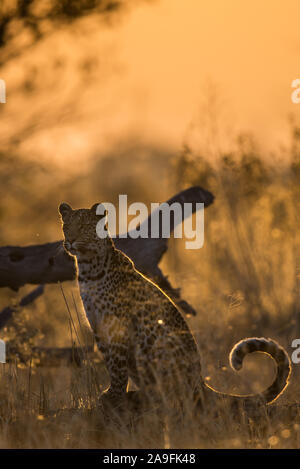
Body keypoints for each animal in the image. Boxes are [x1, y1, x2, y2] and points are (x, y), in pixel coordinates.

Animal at [58, 199, 290, 414]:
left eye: (83, 226)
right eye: (66, 226)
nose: (70, 240)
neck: (88, 269)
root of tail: (200, 383)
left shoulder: (117, 326)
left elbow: (117, 366)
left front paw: (114, 396)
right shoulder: (98, 326)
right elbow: (109, 362)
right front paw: (112, 393)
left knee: (176, 397)